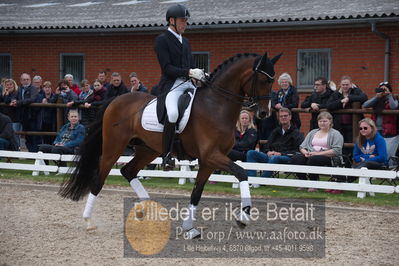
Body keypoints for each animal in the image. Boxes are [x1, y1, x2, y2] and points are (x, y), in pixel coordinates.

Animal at [59, 51, 282, 238]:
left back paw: (149, 210)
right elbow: (242, 173)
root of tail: (115, 100)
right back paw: (89, 222)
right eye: (264, 80)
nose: (264, 113)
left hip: (147, 150)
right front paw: (243, 217)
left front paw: (189, 228)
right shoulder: (211, 156)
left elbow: (197, 193)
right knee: (99, 179)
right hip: (114, 147)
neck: (216, 105)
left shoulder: (209, 161)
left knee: (128, 171)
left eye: (273, 80)